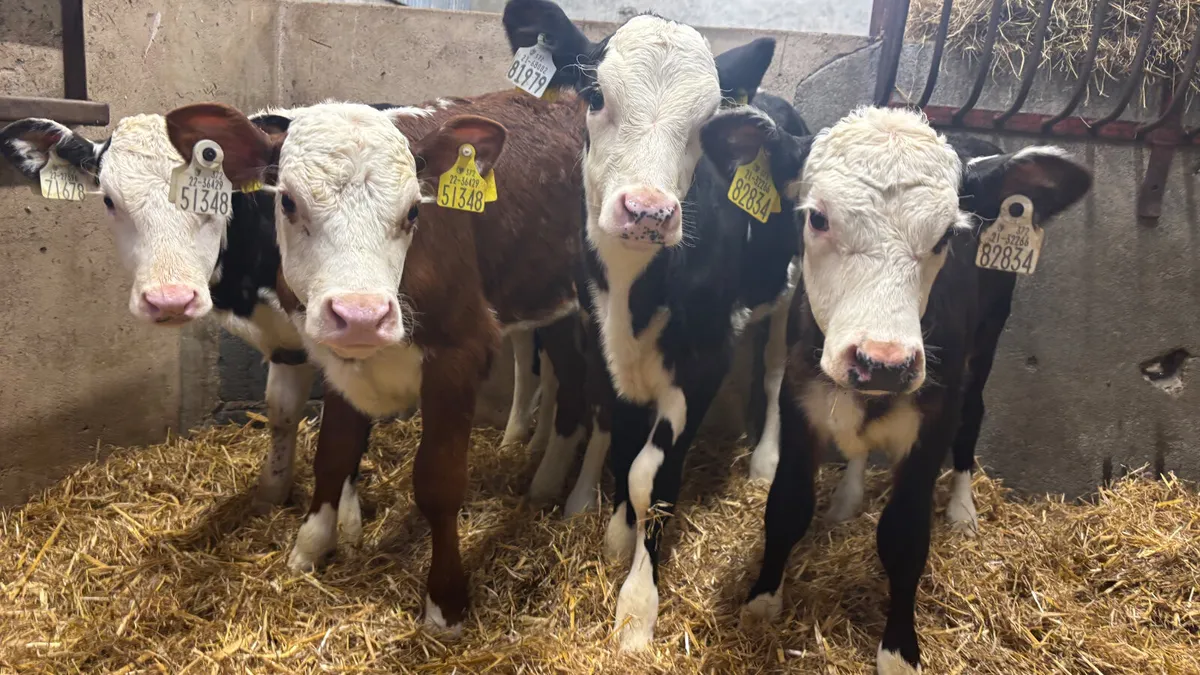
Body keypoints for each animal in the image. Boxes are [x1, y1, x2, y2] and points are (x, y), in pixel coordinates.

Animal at [503, 0, 800, 649]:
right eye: (594, 97)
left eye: (705, 125)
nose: (647, 210)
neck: (631, 294)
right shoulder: (603, 344)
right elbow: (620, 439)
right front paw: (617, 532)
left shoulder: (703, 362)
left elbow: (652, 478)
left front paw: (638, 605)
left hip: (791, 286)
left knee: (773, 368)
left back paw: (767, 461)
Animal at [700, 104, 1091, 673]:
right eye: (817, 217)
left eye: (948, 236)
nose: (882, 362)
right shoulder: (799, 401)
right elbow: (786, 506)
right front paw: (762, 601)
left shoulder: (934, 420)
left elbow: (905, 537)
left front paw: (899, 649)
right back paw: (847, 497)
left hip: (986, 343)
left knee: (974, 418)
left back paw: (961, 509)